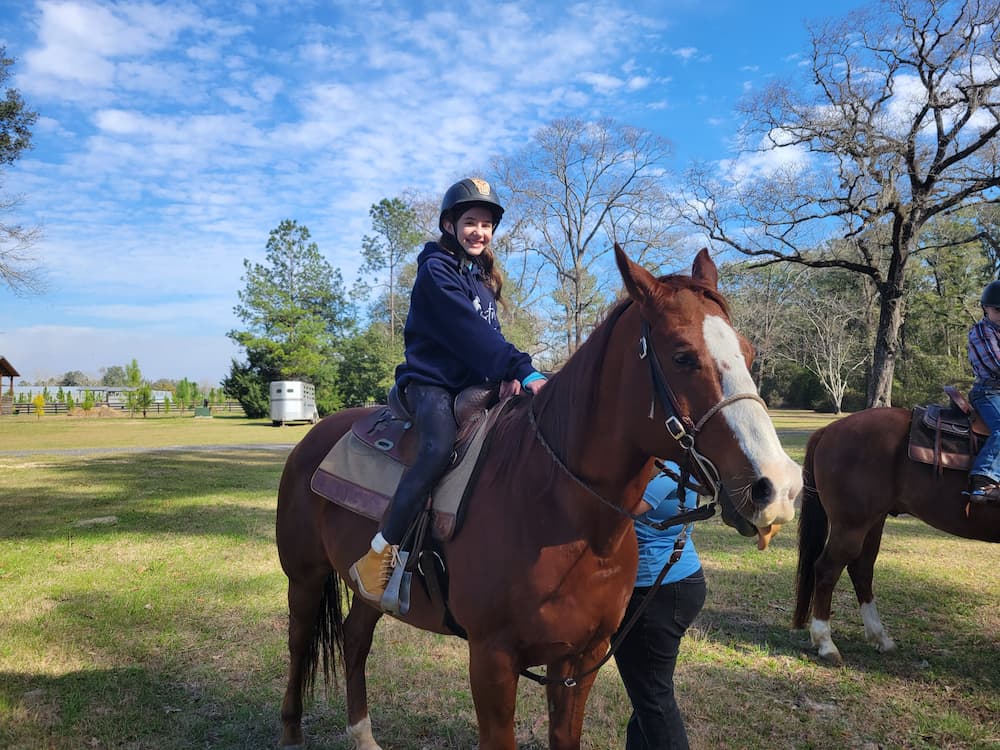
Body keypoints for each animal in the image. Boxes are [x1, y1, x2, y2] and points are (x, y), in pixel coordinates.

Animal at [276, 248, 804, 750]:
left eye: (749, 353)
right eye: (682, 356)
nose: (777, 486)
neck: (559, 511)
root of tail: (313, 436)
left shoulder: (580, 658)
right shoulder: (491, 660)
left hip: (366, 593)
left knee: (354, 639)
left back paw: (363, 736)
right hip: (305, 577)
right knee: (300, 643)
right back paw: (291, 734)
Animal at [796, 408, 1000, 668]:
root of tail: (828, 430)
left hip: (873, 521)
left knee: (861, 569)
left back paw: (880, 638)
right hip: (851, 525)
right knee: (827, 570)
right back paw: (826, 643)